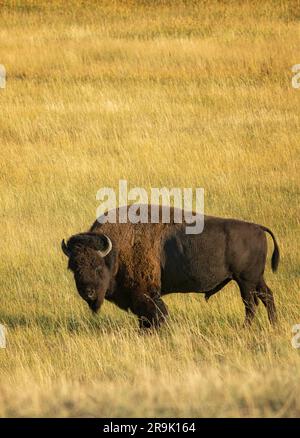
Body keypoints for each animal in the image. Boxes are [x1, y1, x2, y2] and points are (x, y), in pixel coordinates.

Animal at [61, 207, 278, 326]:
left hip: (245, 281)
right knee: (267, 296)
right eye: (74, 269)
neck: (117, 250)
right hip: (256, 279)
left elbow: (154, 315)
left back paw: (246, 328)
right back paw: (273, 324)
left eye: (98, 266)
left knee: (251, 305)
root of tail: (258, 228)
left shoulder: (145, 295)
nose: (88, 292)